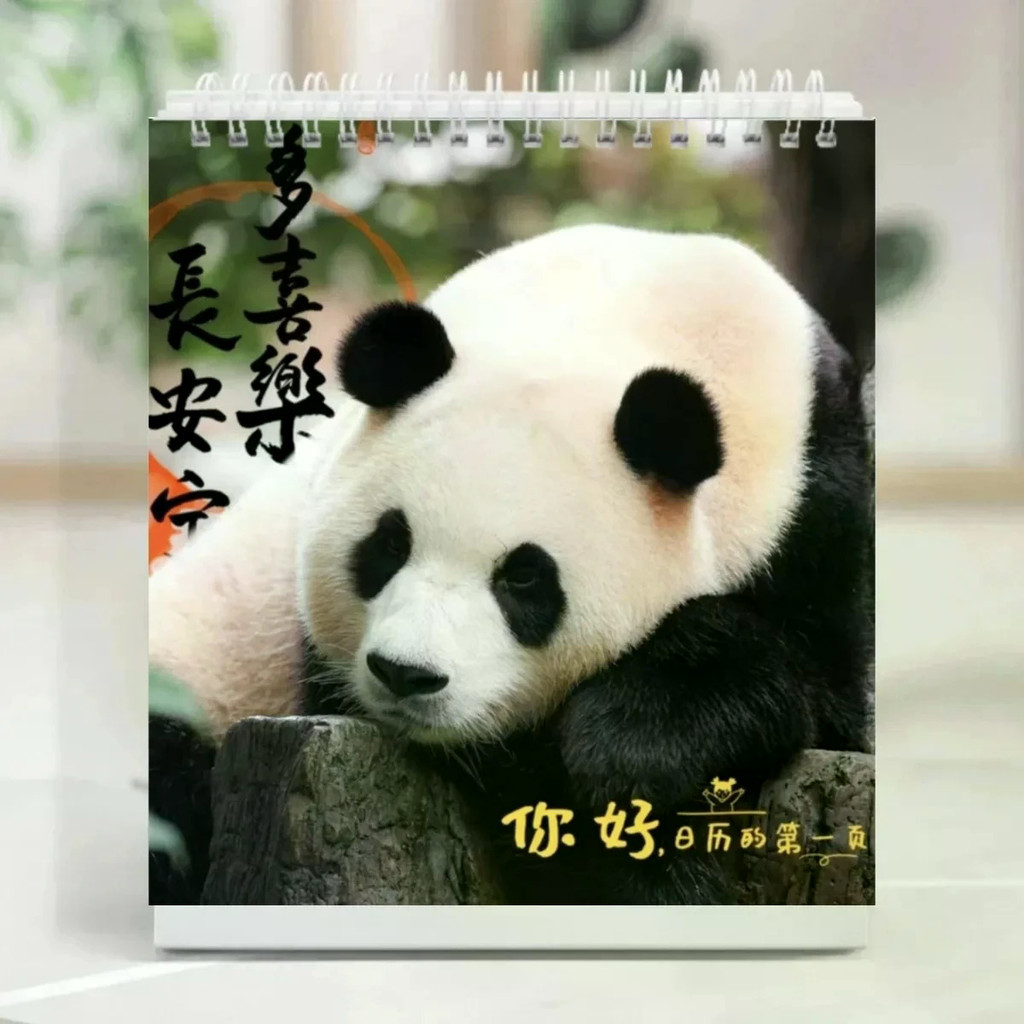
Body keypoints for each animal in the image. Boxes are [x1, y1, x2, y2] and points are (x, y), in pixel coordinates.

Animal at [149, 224, 873, 906]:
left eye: (523, 577)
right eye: (388, 546)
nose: (405, 674)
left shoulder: (814, 502)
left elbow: (818, 684)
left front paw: (632, 744)